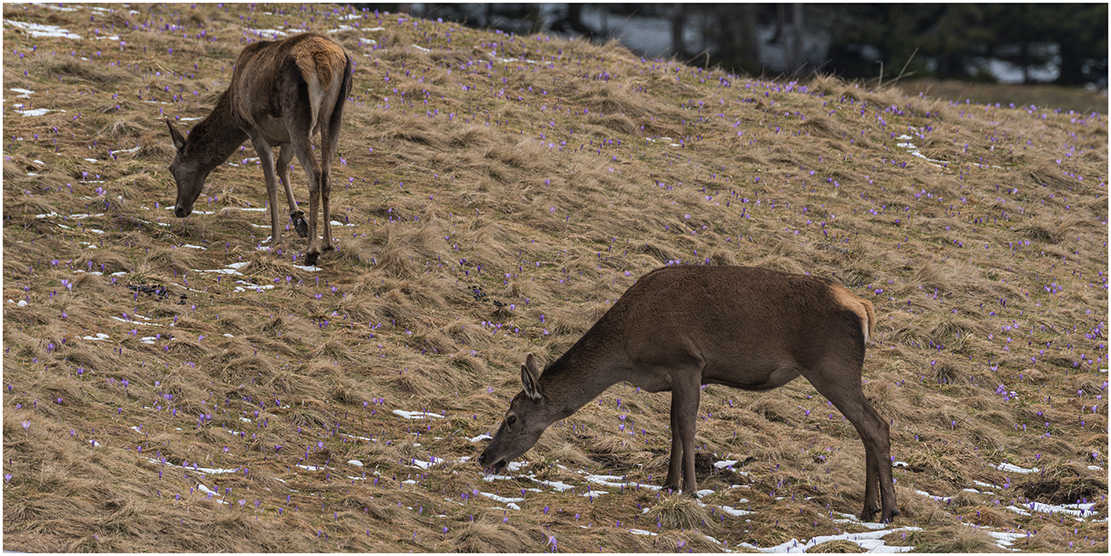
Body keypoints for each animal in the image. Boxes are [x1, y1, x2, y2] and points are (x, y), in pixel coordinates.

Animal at [164, 33, 351, 266]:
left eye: (172, 169)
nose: (179, 209)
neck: (233, 112)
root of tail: (323, 58)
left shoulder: (254, 130)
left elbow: (270, 180)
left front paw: (276, 238)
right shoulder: (285, 139)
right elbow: (282, 168)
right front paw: (298, 219)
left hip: (297, 116)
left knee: (314, 172)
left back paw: (312, 251)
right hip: (334, 116)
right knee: (327, 173)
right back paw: (328, 243)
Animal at [482, 266, 897, 522]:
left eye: (511, 417)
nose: (485, 458)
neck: (627, 352)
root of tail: (864, 306)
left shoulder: (686, 362)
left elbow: (686, 425)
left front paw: (691, 491)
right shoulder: (675, 374)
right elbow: (673, 427)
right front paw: (669, 484)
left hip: (831, 367)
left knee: (876, 425)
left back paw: (889, 510)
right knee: (867, 428)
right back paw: (869, 508)